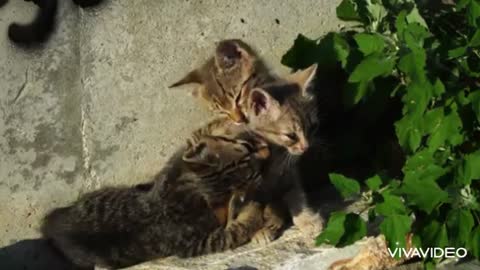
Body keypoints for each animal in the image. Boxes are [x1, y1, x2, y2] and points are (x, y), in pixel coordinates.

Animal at [41, 130, 270, 268]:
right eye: (243, 159)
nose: (248, 144)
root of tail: (50, 225)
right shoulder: (196, 243)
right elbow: (236, 230)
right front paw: (253, 209)